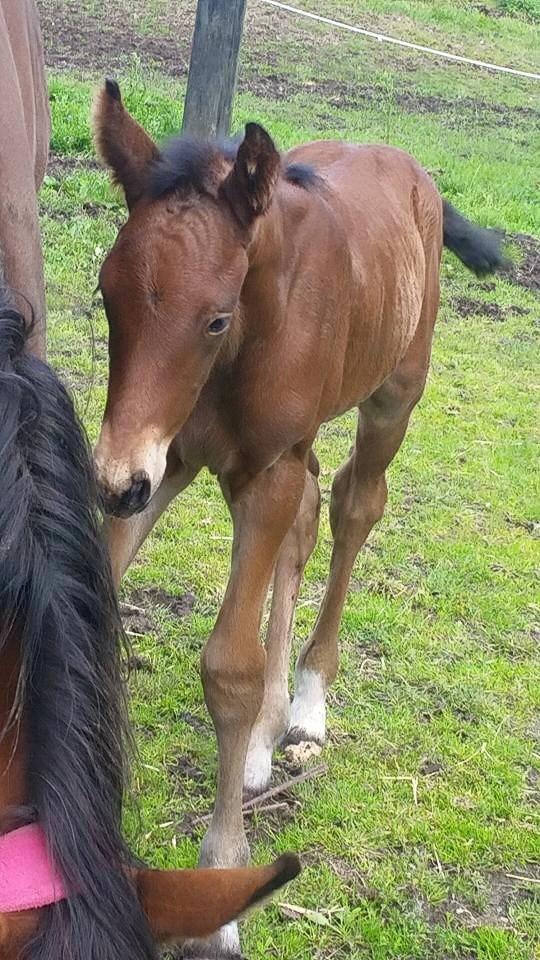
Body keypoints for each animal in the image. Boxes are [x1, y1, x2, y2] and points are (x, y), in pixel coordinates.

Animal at [94, 82, 506, 960]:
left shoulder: (259, 471)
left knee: (353, 507)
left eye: (214, 318)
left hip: (392, 397)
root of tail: (405, 163)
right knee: (312, 517)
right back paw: (263, 740)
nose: (113, 482)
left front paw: (223, 884)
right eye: (109, 295)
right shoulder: (170, 459)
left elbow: (230, 667)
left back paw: (308, 703)